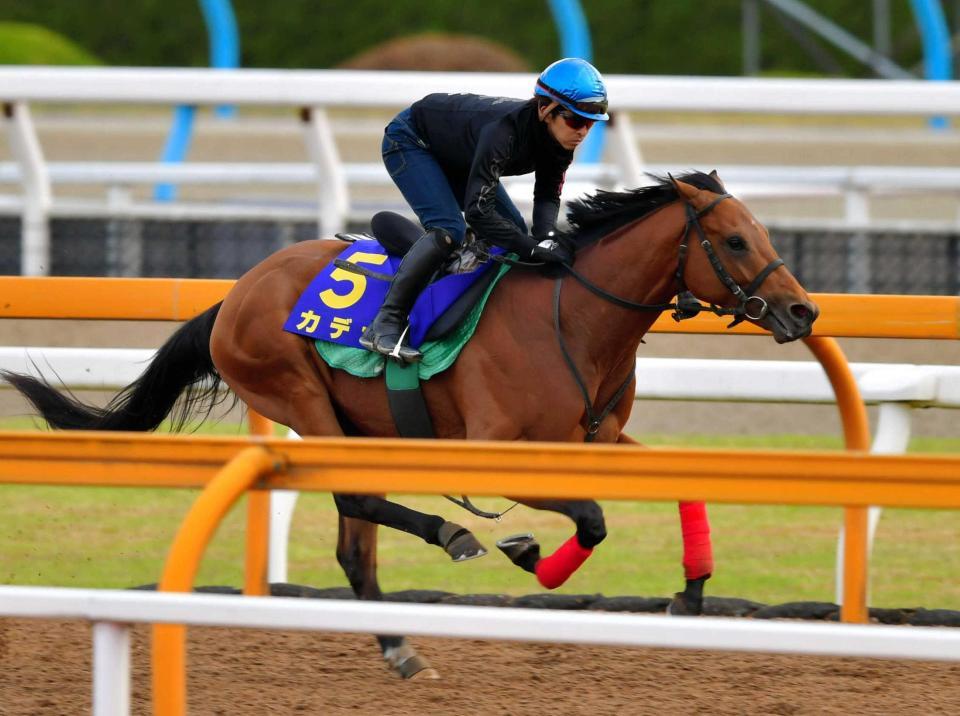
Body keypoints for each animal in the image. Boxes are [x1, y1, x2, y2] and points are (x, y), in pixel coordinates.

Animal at [3, 171, 820, 680]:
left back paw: (400, 647)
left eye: (761, 232)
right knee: (358, 502)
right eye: (737, 241)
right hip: (298, 396)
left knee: (353, 543)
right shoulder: (492, 450)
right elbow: (589, 517)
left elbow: (674, 486)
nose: (804, 310)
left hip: (350, 424)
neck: (575, 317)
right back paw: (452, 536)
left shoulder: (594, 438)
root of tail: (232, 296)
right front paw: (532, 557)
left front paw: (692, 591)